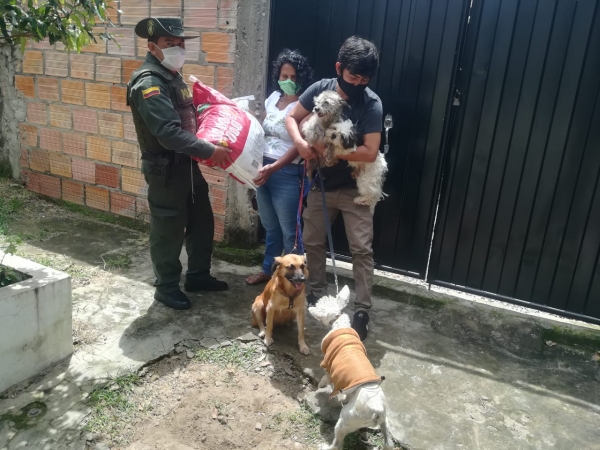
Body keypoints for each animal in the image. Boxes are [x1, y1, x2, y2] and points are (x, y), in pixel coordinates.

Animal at [308, 286, 396, 448]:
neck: (340, 325)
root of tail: (376, 410)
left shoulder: (327, 365)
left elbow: (326, 377)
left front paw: (322, 385)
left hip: (345, 420)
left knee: (337, 444)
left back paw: (325, 446)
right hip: (384, 420)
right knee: (388, 442)